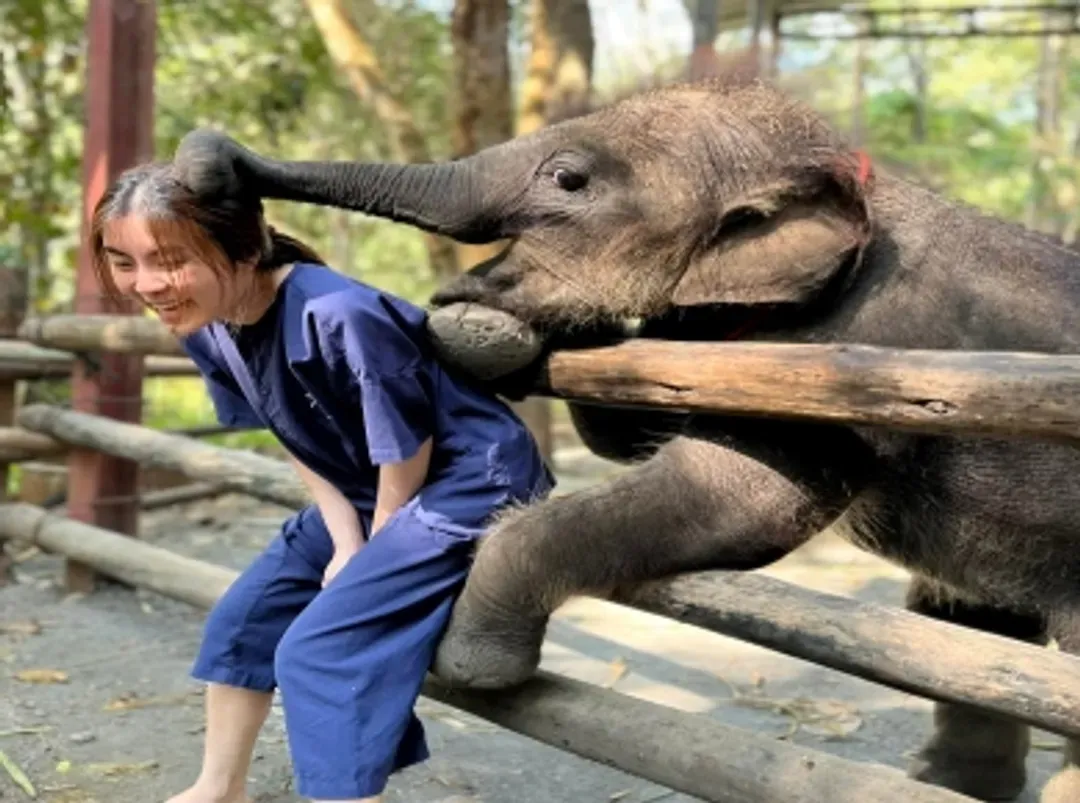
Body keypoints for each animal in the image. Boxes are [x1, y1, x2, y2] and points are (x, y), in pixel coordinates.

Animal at [172, 78, 1080, 802]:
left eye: (569, 179)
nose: (205, 160)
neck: (846, 189)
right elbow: (633, 416)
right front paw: (489, 333)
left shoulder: (849, 353)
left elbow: (745, 495)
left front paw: (473, 667)